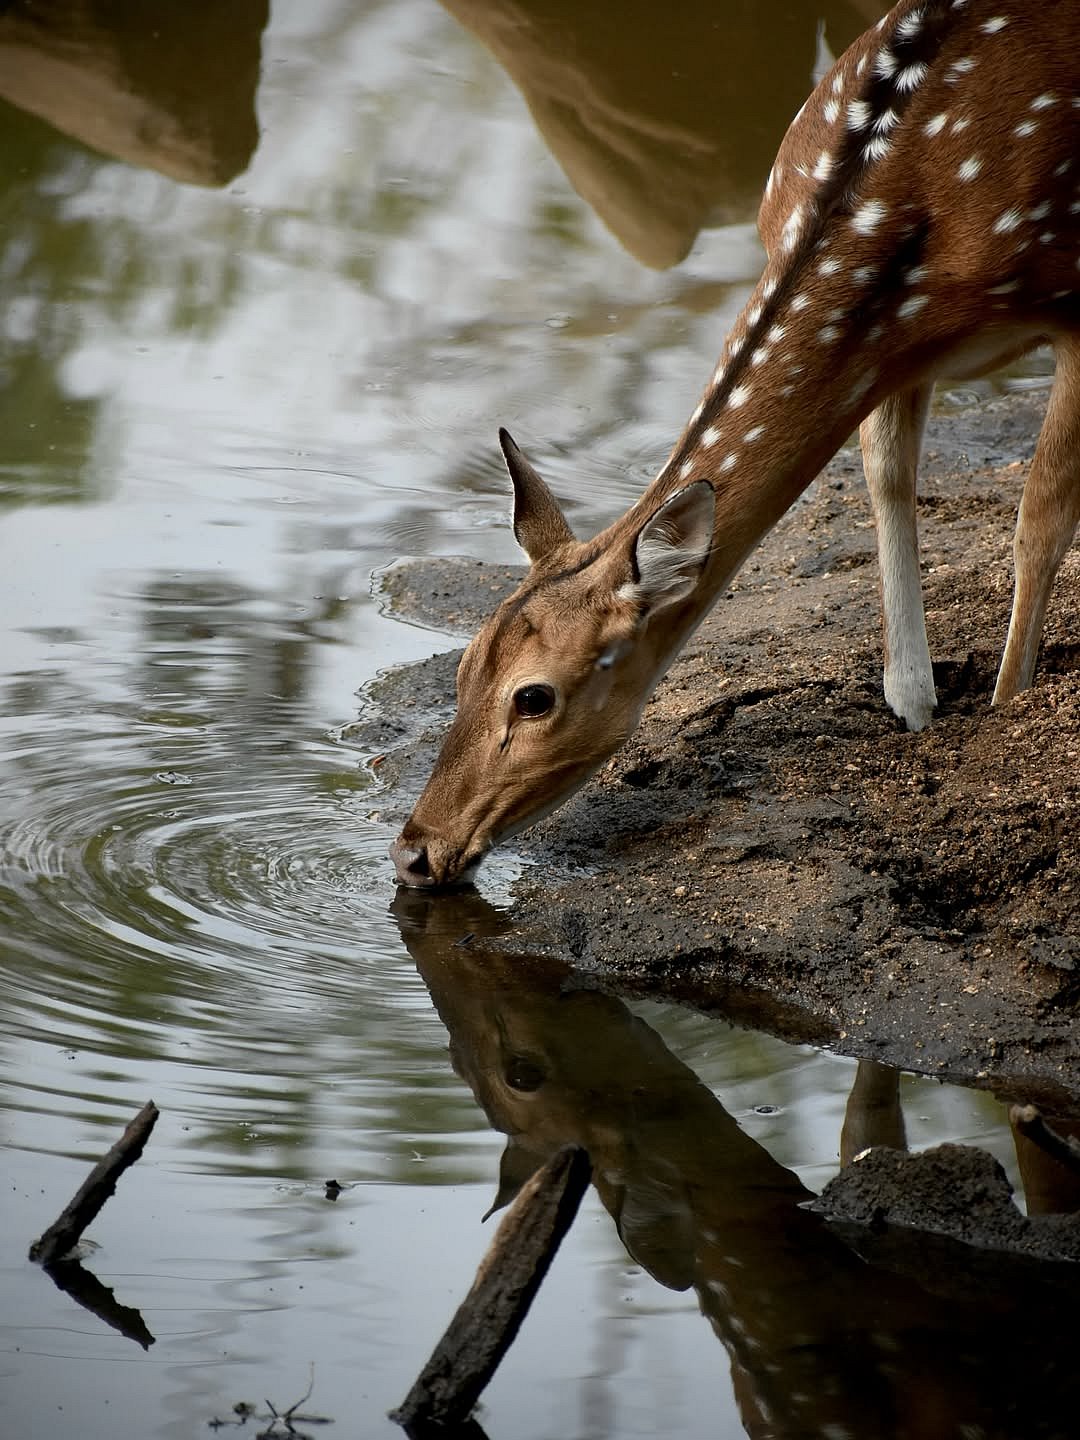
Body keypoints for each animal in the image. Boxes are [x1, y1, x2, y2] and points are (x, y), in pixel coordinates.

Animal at [391, 0, 1080, 888]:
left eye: (534, 696)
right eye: (465, 662)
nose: (416, 849)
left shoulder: (1076, 307)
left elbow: (1040, 517)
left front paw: (1005, 705)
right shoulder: (894, 353)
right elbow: (887, 475)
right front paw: (915, 705)